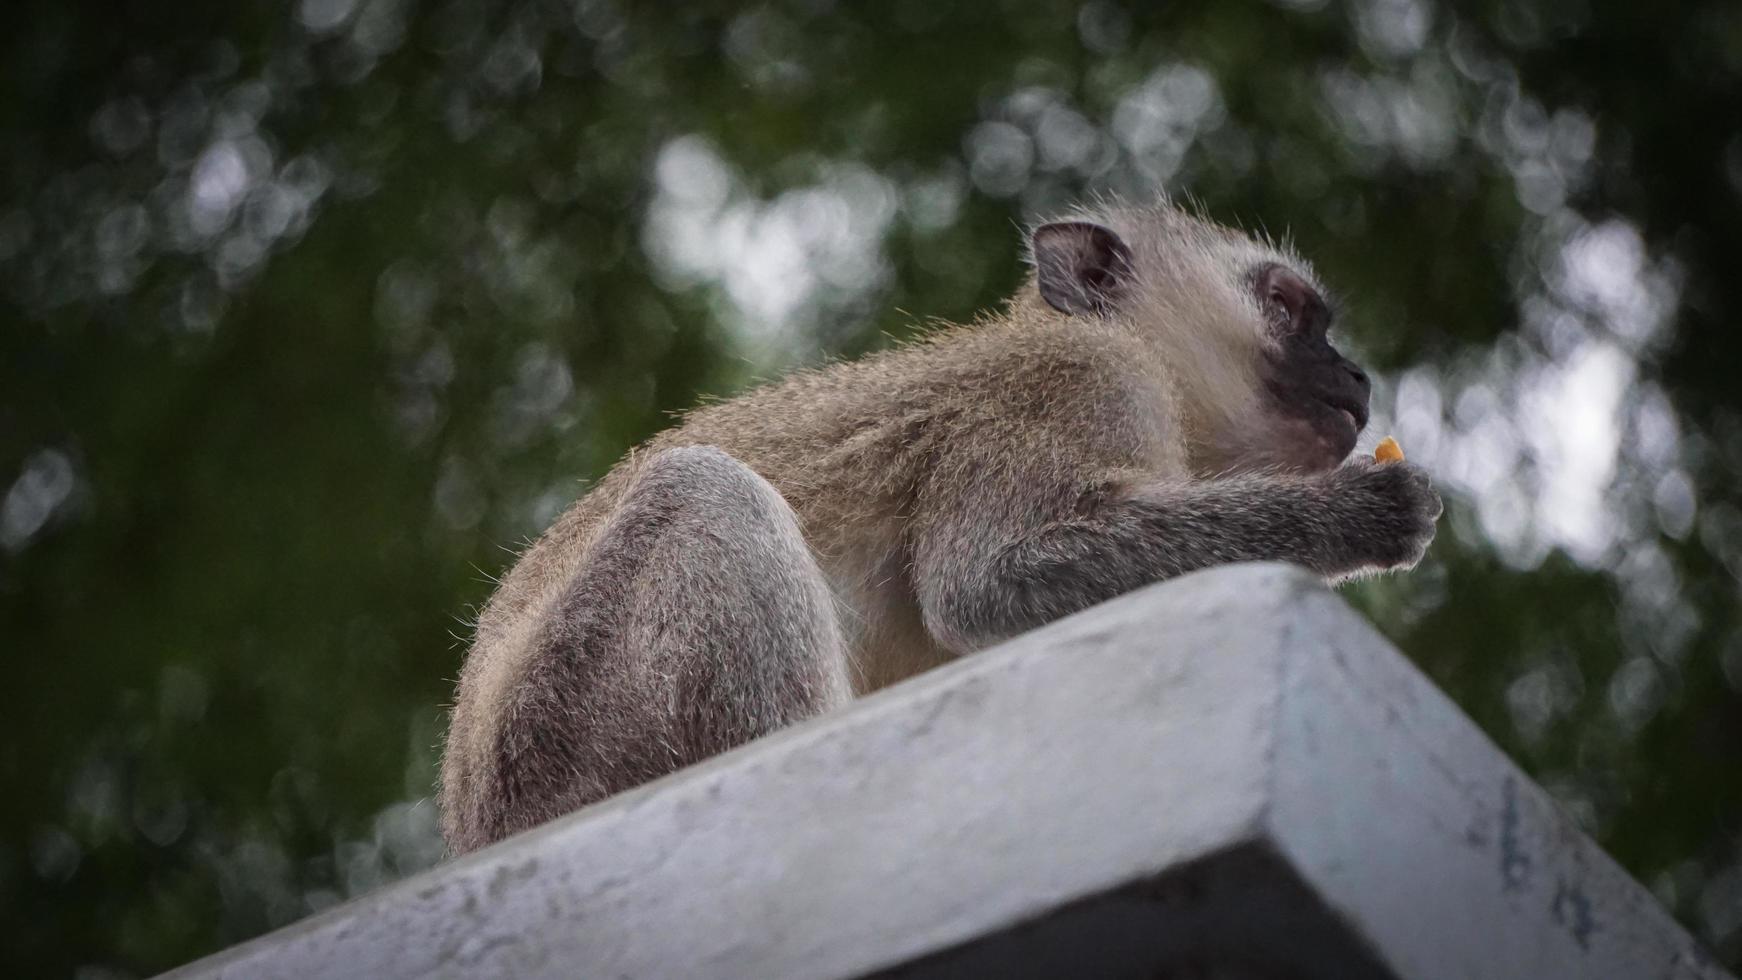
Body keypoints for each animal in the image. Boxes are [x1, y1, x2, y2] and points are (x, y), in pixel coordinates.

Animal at [435, 201, 1442, 859]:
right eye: (1289, 310)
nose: (1355, 375)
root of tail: (477, 824)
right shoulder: (1079, 384)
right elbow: (984, 579)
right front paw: (1359, 515)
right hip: (567, 731)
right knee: (707, 493)